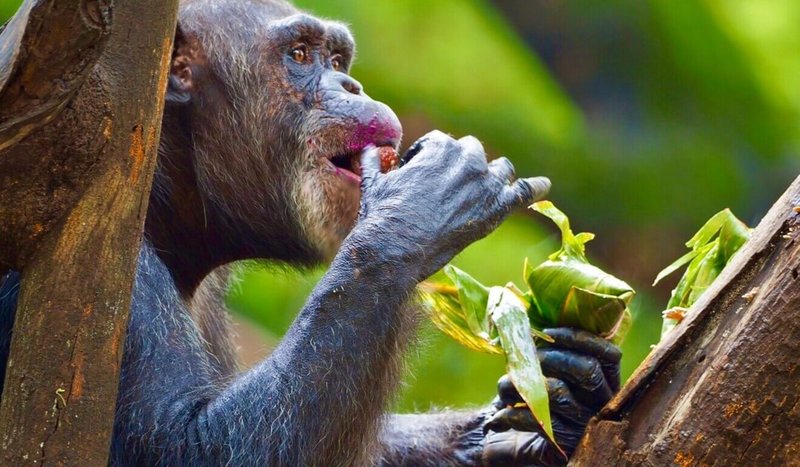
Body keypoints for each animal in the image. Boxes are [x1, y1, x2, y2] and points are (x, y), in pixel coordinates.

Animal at [0, 1, 620, 466]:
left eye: (337, 57)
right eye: (299, 55)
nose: (351, 82)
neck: (166, 202)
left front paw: (554, 404)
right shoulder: (109, 269)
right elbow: (189, 443)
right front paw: (417, 204)